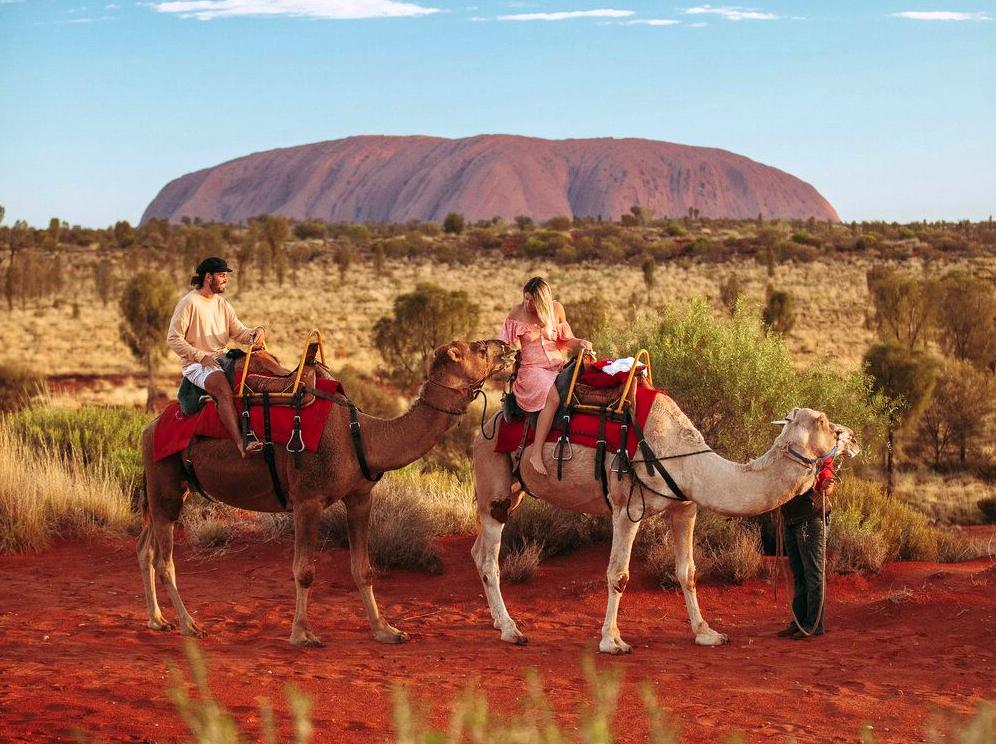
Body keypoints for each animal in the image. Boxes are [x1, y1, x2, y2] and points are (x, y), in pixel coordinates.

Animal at [140, 338, 516, 644]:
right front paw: (302, 634)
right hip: (165, 487)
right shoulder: (308, 500)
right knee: (164, 560)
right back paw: (190, 625)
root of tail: (149, 427)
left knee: (146, 548)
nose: (507, 347)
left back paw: (158, 620)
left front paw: (385, 630)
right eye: (478, 348)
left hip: (169, 488)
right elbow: (305, 571)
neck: (362, 436)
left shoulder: (360, 497)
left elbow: (363, 569)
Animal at [470, 404, 860, 652]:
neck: (684, 458)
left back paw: (498, 621)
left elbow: (688, 572)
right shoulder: (627, 507)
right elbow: (619, 574)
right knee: (490, 558)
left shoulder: (685, 507)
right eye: (823, 421)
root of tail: (482, 428)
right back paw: (512, 630)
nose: (854, 438)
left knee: (478, 551)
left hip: (515, 490)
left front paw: (707, 634)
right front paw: (612, 641)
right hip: (495, 483)